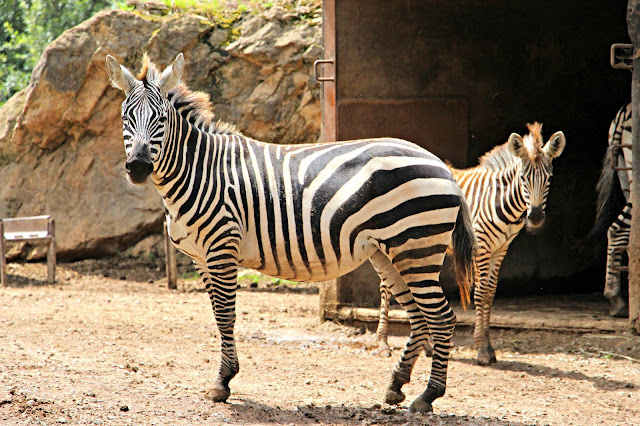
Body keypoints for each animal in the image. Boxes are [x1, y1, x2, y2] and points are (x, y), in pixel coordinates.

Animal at [105, 53, 476, 412]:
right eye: (125, 117)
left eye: (161, 120)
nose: (138, 167)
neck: (199, 171)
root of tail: (441, 165)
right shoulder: (199, 256)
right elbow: (217, 314)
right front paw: (224, 377)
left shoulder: (222, 247)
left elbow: (225, 316)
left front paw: (223, 381)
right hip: (389, 252)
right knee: (419, 317)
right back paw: (396, 386)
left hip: (416, 246)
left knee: (441, 317)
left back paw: (428, 396)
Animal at [378, 121, 568, 364]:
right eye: (523, 178)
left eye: (549, 179)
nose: (535, 218)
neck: (499, 198)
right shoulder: (482, 247)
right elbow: (480, 293)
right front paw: (482, 349)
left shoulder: (500, 249)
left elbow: (490, 293)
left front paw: (488, 346)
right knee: (385, 286)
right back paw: (382, 343)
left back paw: (426, 346)